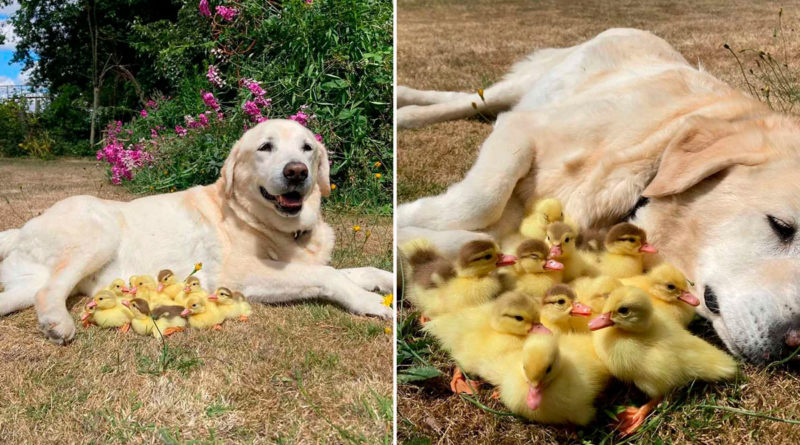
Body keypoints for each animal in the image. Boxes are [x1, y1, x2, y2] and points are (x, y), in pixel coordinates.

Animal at [0, 118, 394, 344]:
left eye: (307, 148)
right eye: (265, 147)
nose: (297, 171)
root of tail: (22, 229)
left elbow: (357, 271)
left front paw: (387, 280)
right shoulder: (239, 273)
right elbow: (330, 275)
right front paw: (371, 302)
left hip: (27, 283)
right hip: (99, 234)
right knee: (49, 292)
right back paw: (56, 323)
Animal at [400, 26, 800, 360]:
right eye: (781, 226)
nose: (793, 343)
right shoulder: (522, 130)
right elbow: (479, 201)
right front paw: (410, 216)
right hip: (530, 84)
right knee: (473, 99)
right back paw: (406, 107)